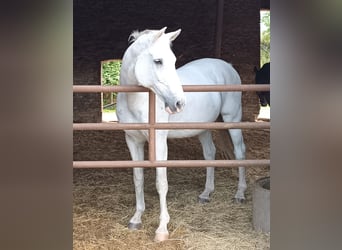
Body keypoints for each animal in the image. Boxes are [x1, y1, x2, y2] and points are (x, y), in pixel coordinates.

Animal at [117, 27, 246, 242]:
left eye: (174, 60)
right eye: (158, 61)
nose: (179, 103)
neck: (136, 101)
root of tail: (227, 66)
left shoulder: (159, 142)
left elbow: (161, 183)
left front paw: (162, 229)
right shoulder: (133, 141)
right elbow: (138, 179)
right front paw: (136, 218)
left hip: (232, 119)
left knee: (240, 152)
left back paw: (240, 194)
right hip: (203, 128)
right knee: (210, 154)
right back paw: (206, 193)